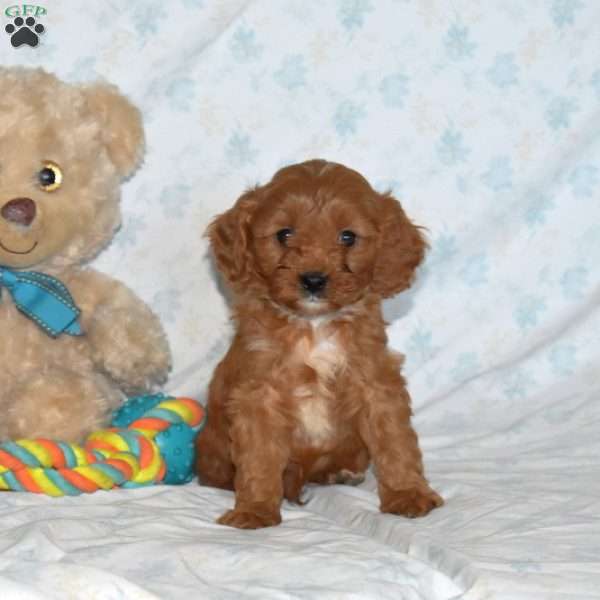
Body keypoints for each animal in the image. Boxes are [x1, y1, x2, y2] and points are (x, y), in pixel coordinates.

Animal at [197, 161, 440, 528]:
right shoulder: (258, 395)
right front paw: (254, 509)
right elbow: (258, 458)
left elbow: (396, 443)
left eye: (347, 236)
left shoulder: (377, 385)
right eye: (284, 234)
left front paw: (407, 494)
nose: (313, 280)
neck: (314, 326)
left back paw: (340, 473)